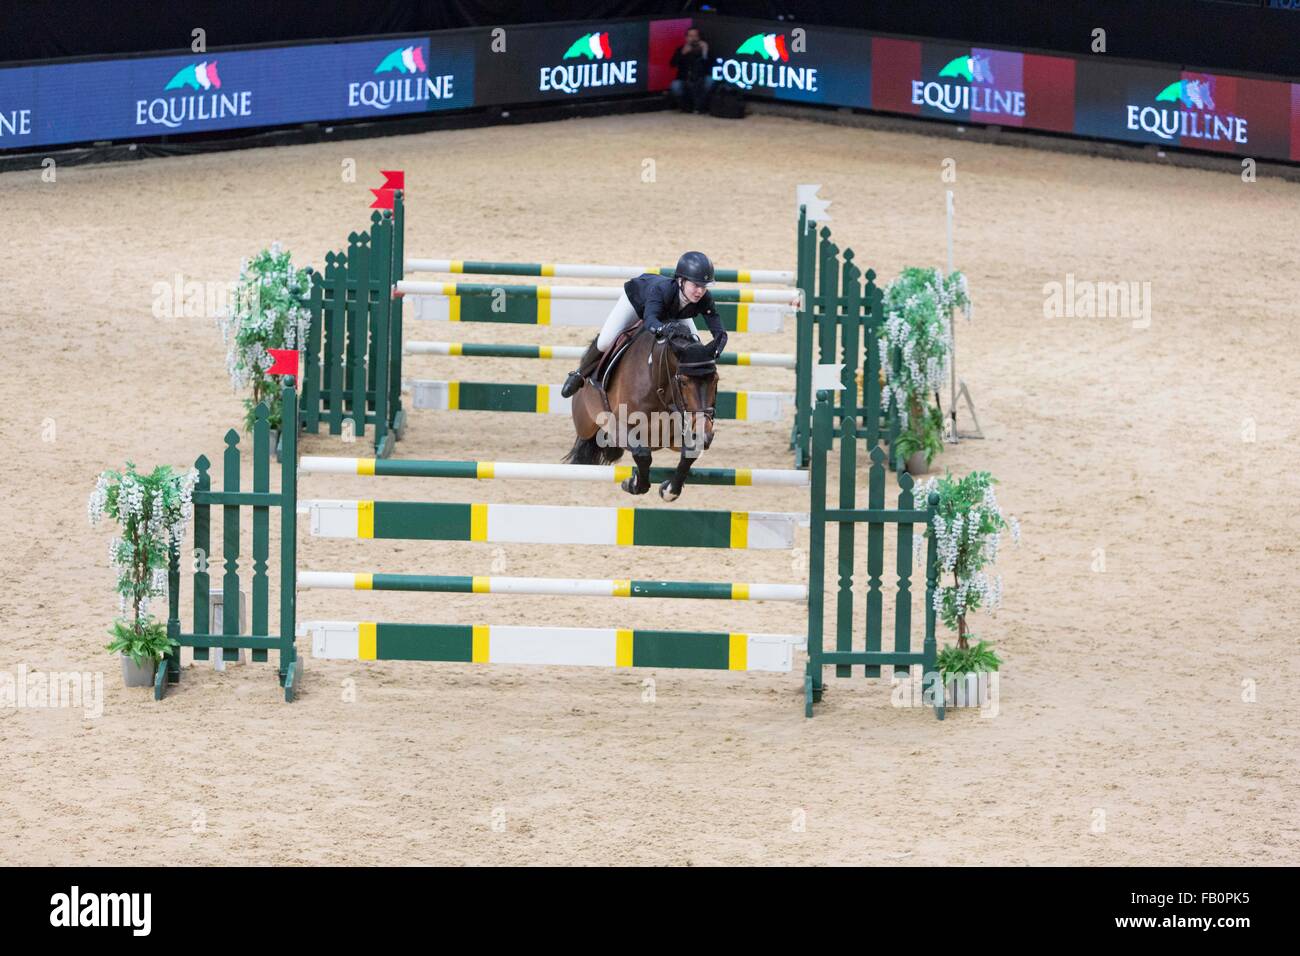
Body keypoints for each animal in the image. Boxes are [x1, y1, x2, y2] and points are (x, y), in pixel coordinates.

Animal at [561, 323, 722, 502]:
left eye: (715, 379)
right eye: (684, 382)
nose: (704, 434)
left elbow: (690, 452)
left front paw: (669, 490)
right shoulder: (619, 427)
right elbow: (642, 454)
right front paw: (633, 483)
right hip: (585, 423)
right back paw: (572, 382)